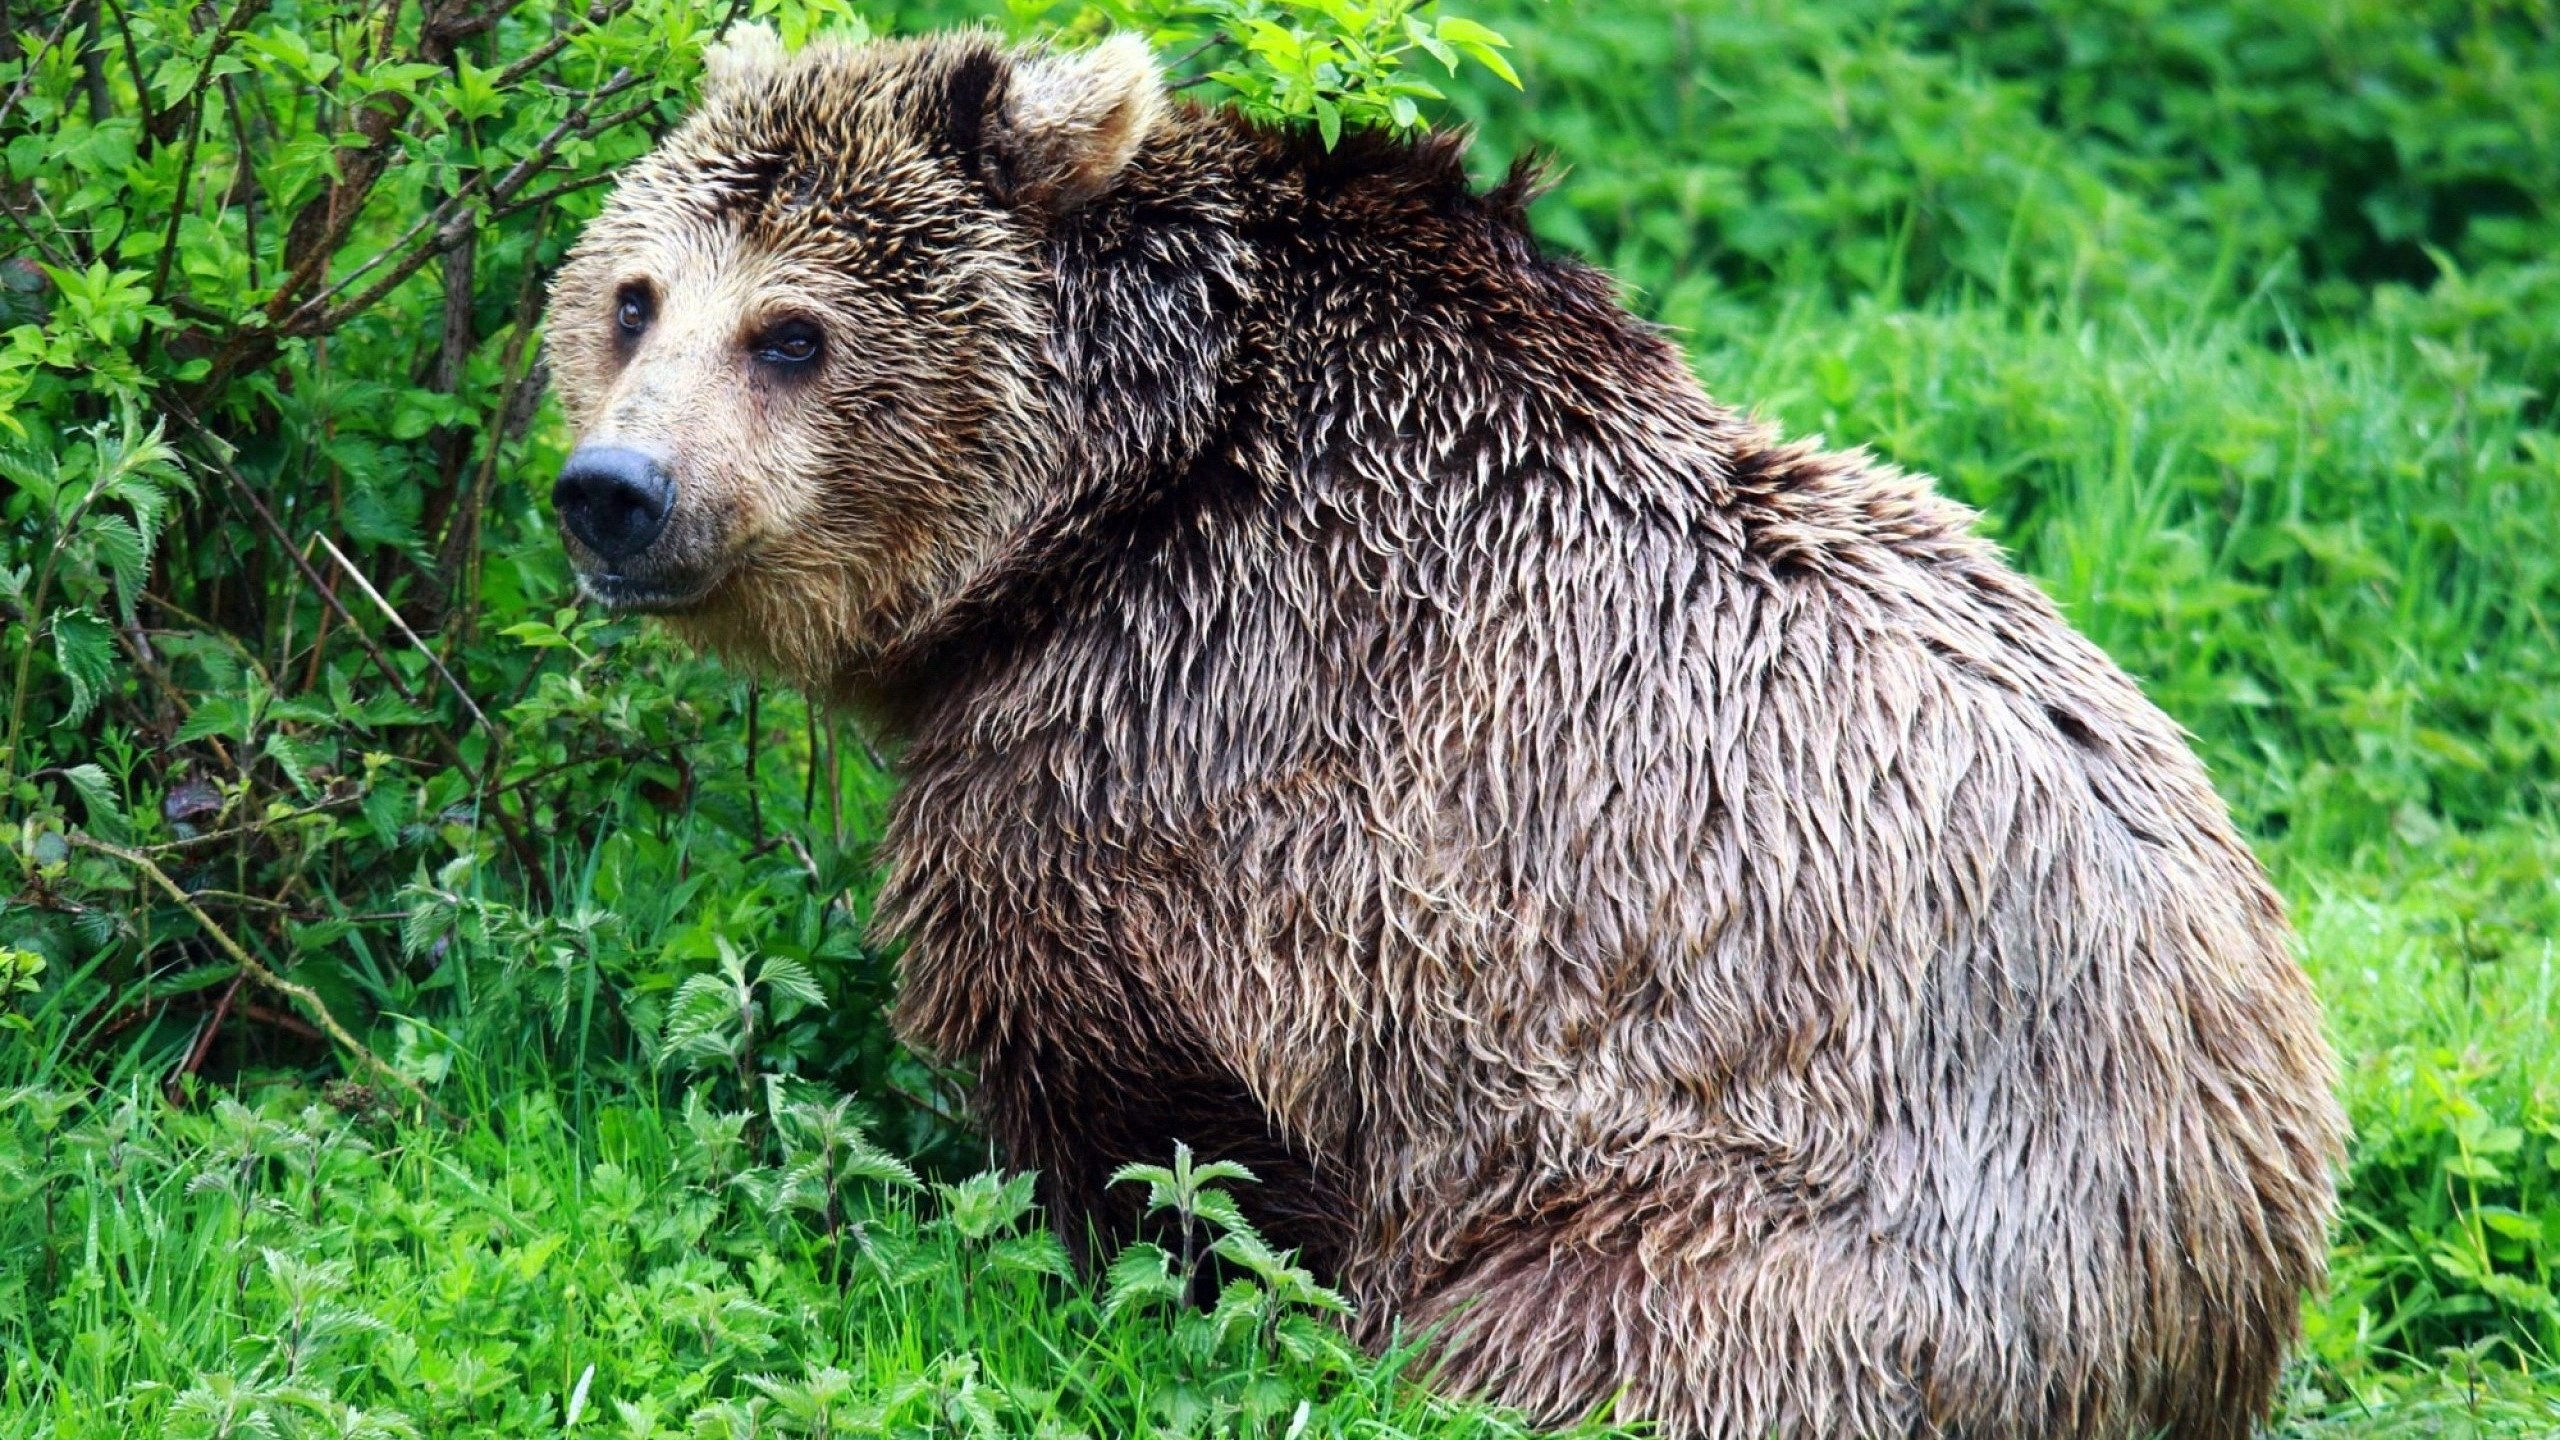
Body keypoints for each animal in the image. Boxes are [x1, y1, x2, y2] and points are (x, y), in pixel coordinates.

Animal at [542, 27, 2347, 1440]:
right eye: (634, 297)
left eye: (792, 332)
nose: (613, 491)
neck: (1113, 498)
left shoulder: (1189, 746)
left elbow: (1142, 1107)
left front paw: (1134, 1290)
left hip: (1781, 1230)